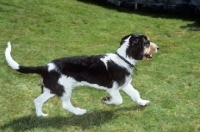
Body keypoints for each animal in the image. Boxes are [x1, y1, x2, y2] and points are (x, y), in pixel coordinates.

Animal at [4, 33, 159, 116]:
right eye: (147, 42)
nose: (158, 47)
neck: (123, 58)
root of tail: (45, 67)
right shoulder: (113, 89)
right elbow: (119, 100)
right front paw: (106, 101)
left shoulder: (125, 84)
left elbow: (135, 94)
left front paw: (142, 103)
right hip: (65, 89)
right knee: (66, 105)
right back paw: (79, 112)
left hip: (52, 89)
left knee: (38, 101)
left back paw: (40, 115)